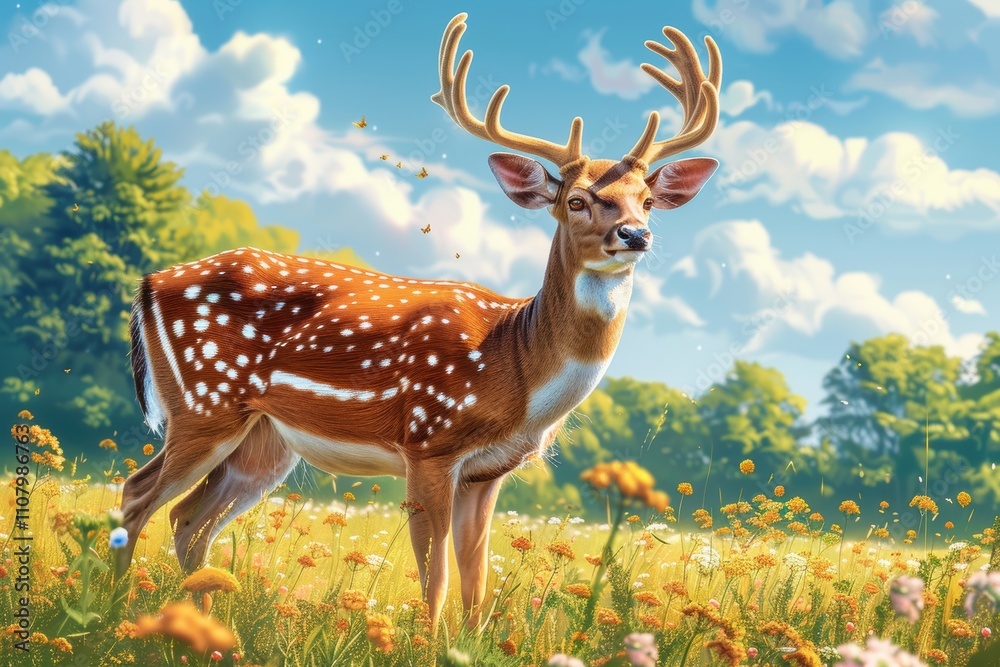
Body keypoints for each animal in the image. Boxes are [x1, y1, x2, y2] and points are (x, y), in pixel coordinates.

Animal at [116, 12, 721, 635]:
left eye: (647, 199)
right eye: (576, 201)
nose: (635, 235)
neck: (516, 369)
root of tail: (147, 285)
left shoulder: (487, 472)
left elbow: (476, 587)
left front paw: (466, 642)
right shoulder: (429, 442)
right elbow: (436, 581)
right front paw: (428, 644)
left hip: (263, 442)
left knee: (189, 521)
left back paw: (209, 631)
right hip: (203, 402)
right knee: (137, 496)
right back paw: (113, 614)